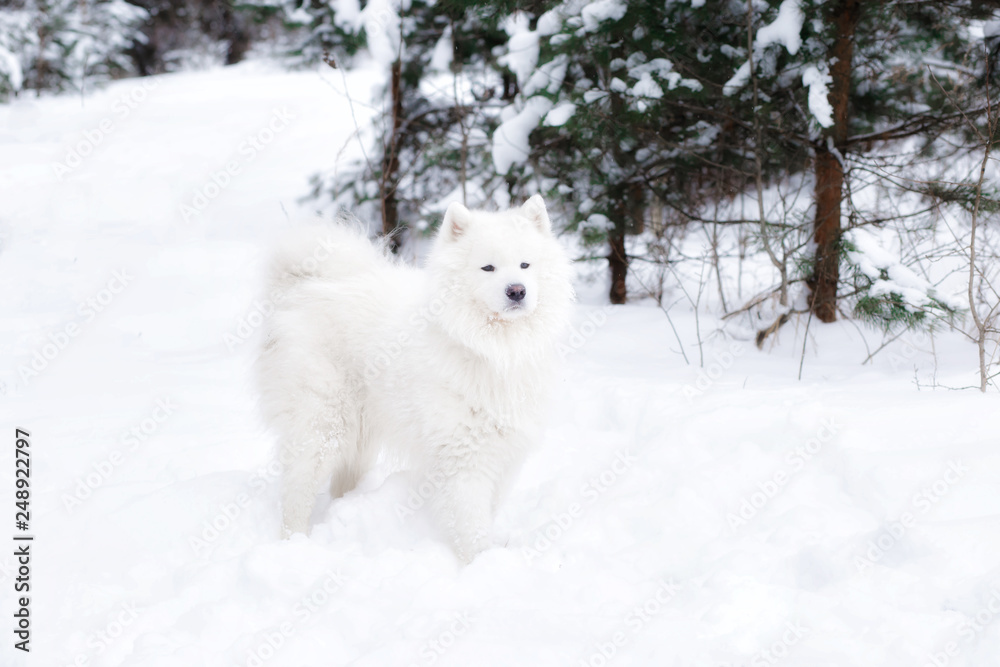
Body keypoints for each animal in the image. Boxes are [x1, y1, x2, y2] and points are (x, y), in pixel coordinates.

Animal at [254, 196, 576, 560]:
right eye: (488, 268)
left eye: (525, 265)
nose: (516, 291)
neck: (493, 351)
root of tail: (304, 287)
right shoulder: (462, 456)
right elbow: (471, 522)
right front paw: (479, 563)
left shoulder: (504, 453)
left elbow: (488, 510)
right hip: (322, 425)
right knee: (297, 491)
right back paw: (294, 544)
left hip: (359, 437)